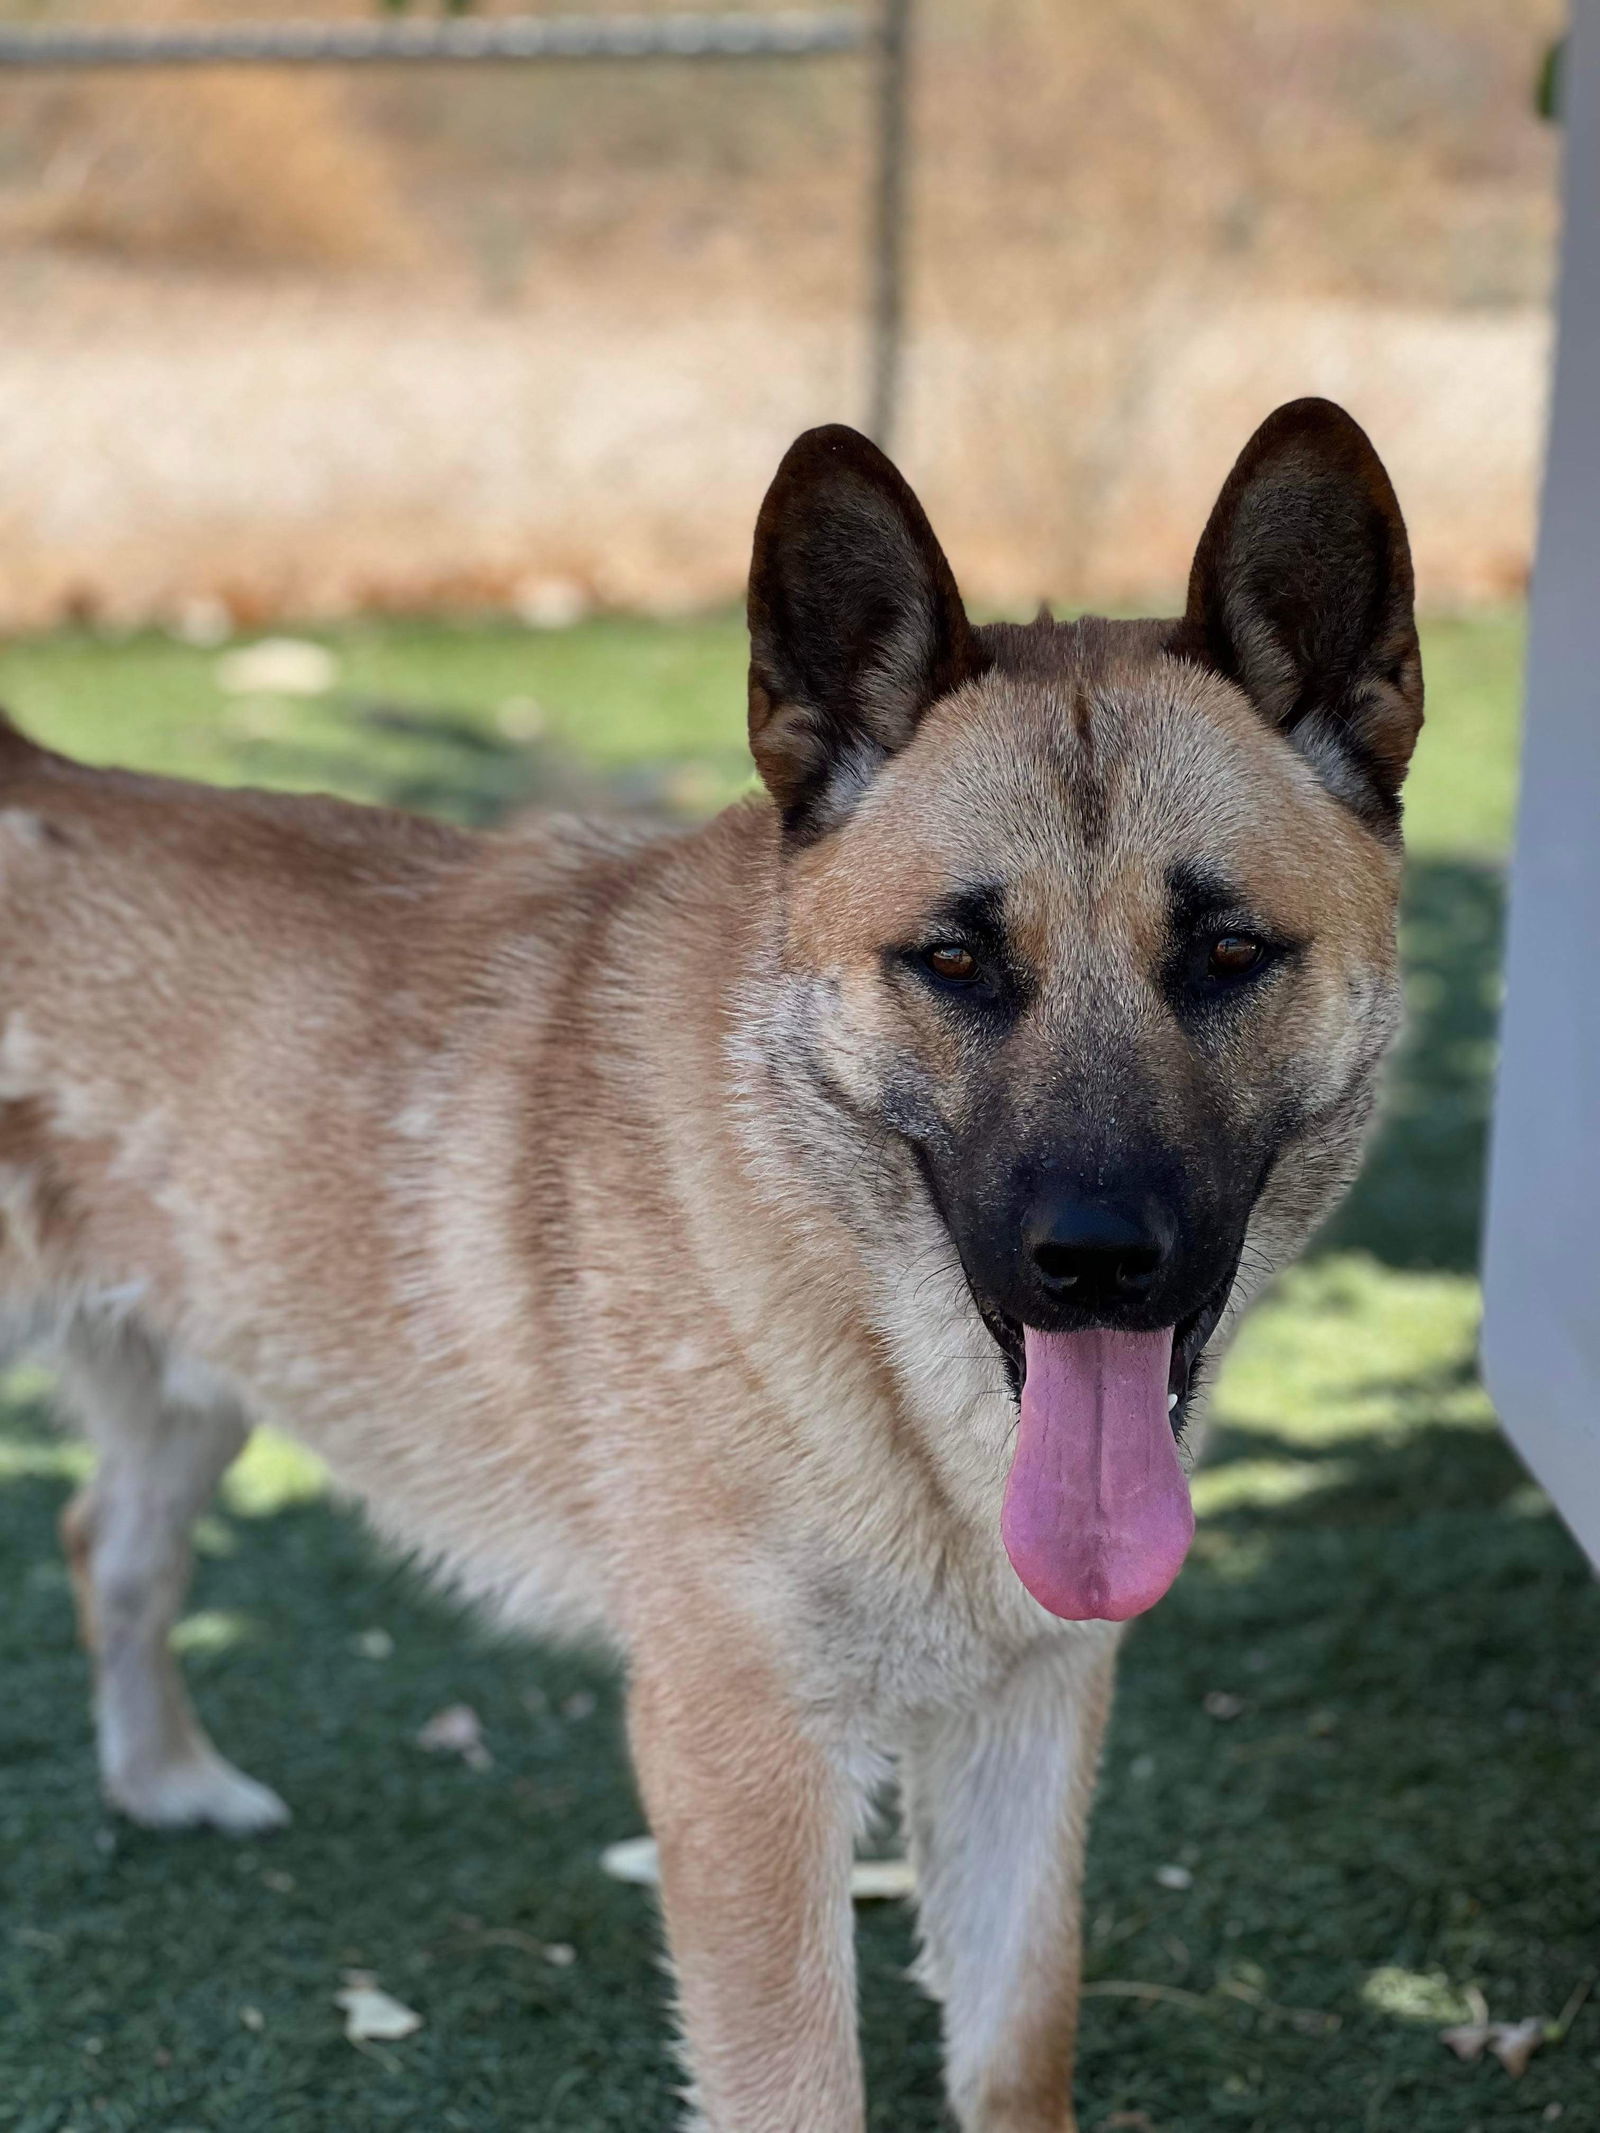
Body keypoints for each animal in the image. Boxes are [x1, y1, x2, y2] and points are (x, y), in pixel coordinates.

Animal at [0, 403, 1425, 2133]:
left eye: (1226, 954)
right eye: (955, 959)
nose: (1093, 1264)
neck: (872, 1334)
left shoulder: (1027, 1717)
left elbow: (1018, 2046)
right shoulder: (743, 1758)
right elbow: (801, 2087)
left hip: (201, 1377)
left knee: (108, 1546)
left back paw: (168, 1782)